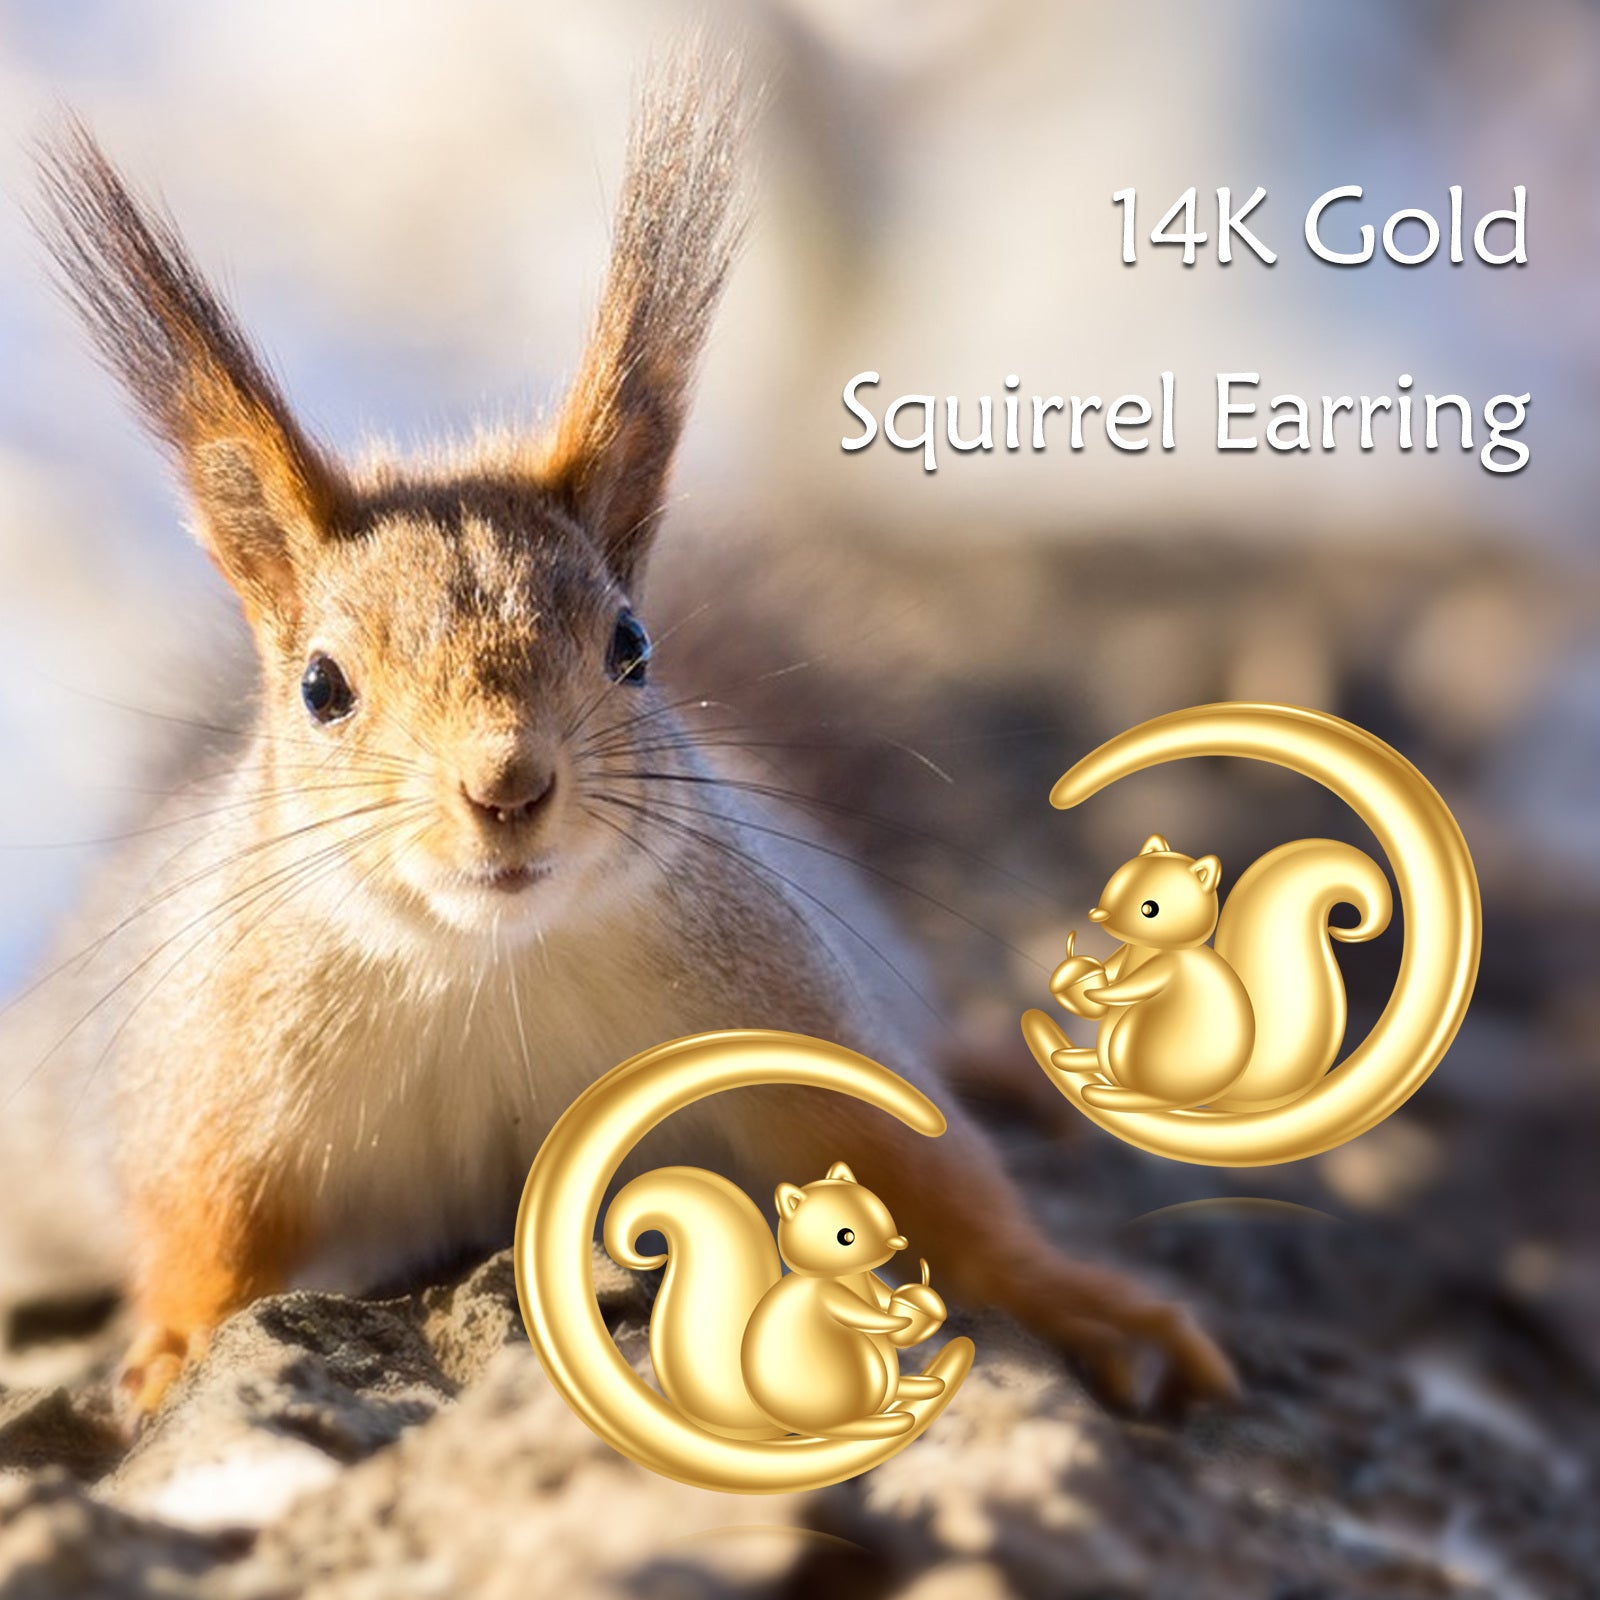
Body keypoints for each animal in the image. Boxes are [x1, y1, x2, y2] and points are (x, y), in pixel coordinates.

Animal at [605, 1161, 950, 1441]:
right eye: (845, 1236)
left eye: (880, 1211)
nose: (897, 1243)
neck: (846, 1276)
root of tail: (772, 1420)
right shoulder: (827, 1296)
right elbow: (855, 1311)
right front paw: (899, 1319)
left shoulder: (871, 1283)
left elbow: (882, 1295)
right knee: (835, 1425)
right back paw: (889, 1421)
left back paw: (921, 1387)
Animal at [1047, 834, 1392, 1112]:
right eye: (1114, 884)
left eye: (1150, 908)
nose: (1098, 915)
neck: (1150, 948)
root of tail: (1220, 1094)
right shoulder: (1126, 955)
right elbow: (1113, 966)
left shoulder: (1168, 968)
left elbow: (1139, 984)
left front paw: (1097, 991)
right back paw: (1074, 1058)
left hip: (1138, 1052)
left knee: (1159, 1098)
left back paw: (1107, 1093)